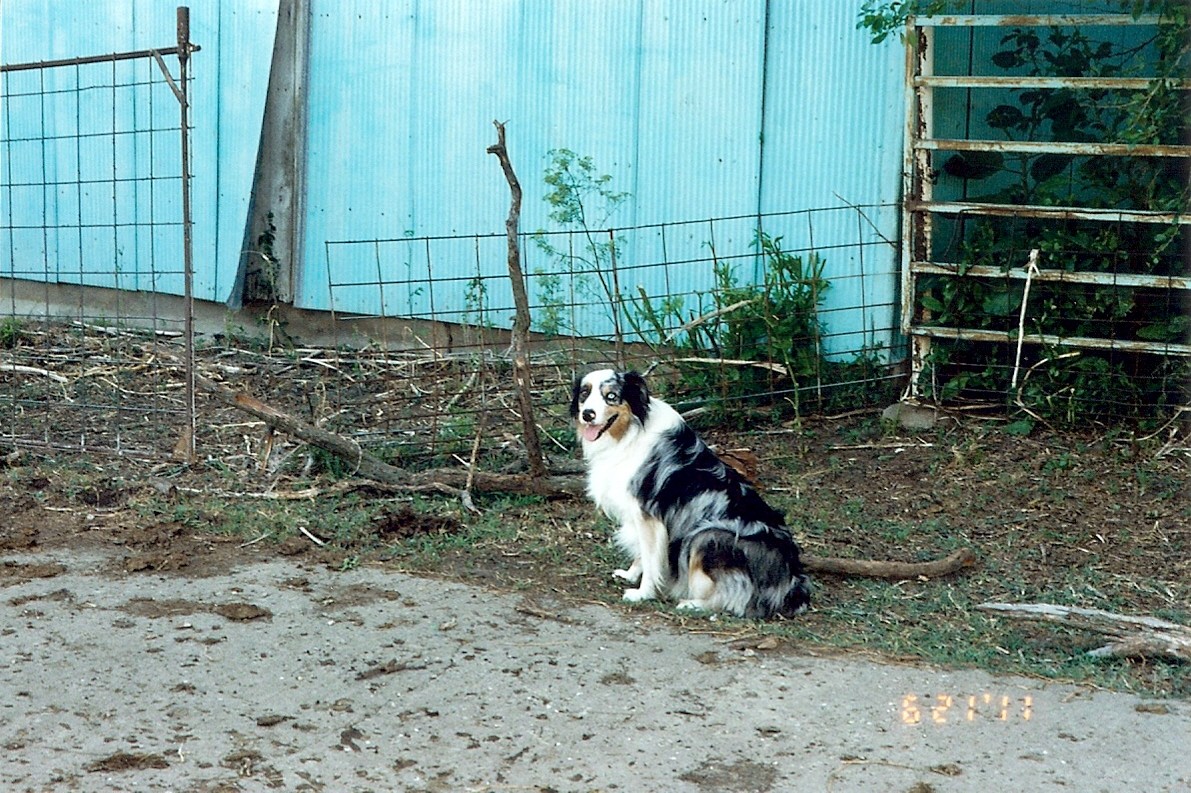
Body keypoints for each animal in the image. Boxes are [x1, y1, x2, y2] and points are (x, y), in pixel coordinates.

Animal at [566, 366, 809, 614]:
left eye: (611, 396)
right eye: (584, 394)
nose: (587, 414)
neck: (628, 433)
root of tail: (792, 580)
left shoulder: (649, 515)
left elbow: (650, 558)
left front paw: (643, 593)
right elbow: (643, 554)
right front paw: (630, 574)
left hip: (707, 535)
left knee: (736, 598)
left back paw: (692, 604)